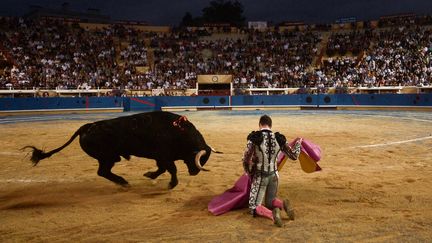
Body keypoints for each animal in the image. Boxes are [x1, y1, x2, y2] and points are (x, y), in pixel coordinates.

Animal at [23, 111, 219, 189]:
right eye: (198, 158)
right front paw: (171, 184)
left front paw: (150, 175)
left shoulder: (160, 157)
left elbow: (162, 169)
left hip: (110, 157)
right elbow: (171, 169)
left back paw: (122, 182)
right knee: (103, 171)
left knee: (104, 172)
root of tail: (88, 126)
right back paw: (123, 182)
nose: (194, 172)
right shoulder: (164, 155)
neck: (179, 132)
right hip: (107, 157)